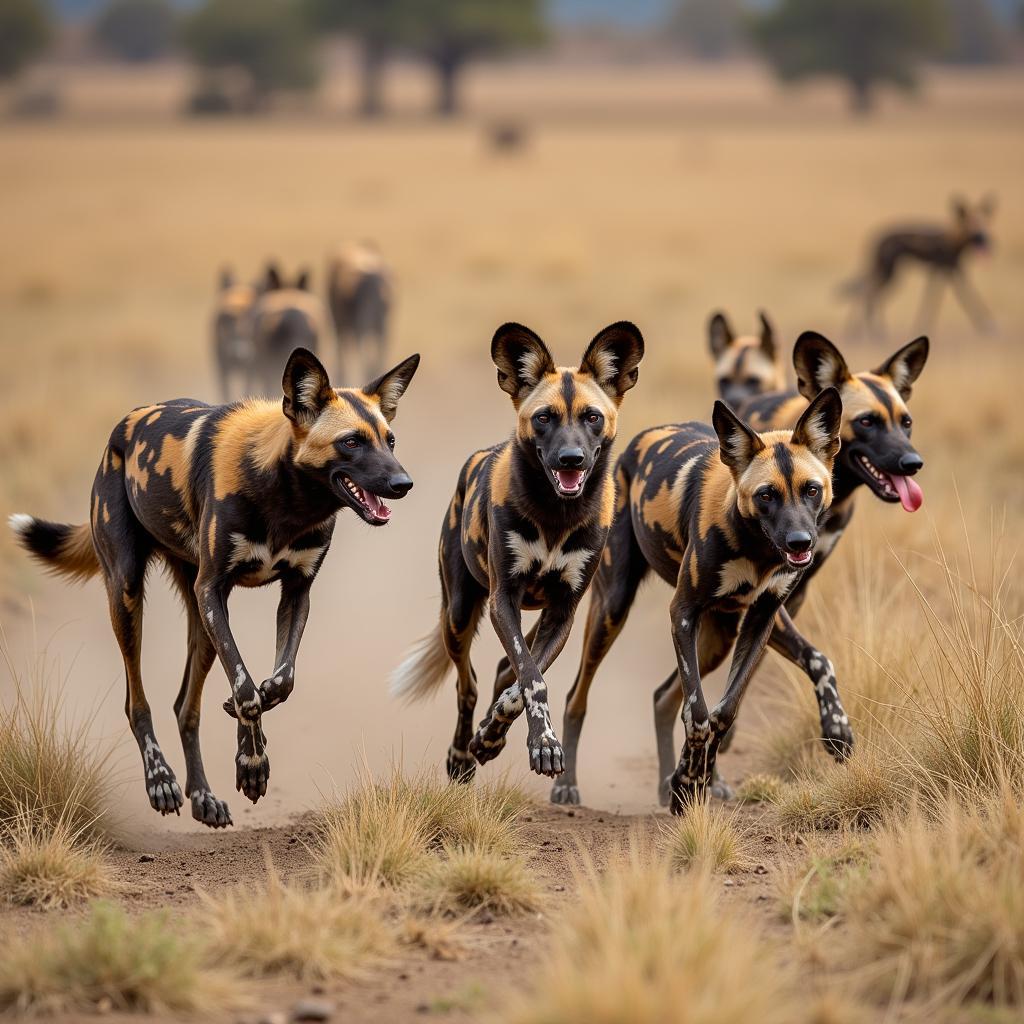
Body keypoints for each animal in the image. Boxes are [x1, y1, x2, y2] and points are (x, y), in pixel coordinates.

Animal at [9, 348, 417, 827]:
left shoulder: (293, 594)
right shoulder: (214, 592)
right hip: (129, 597)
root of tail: (120, 430)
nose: (403, 484)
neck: (286, 501)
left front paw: (251, 746)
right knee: (137, 703)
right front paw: (253, 763)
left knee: (186, 707)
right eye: (351, 442)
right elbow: (245, 690)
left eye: (390, 441)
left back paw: (202, 794)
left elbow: (276, 683)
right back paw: (161, 782)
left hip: (200, 625)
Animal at [387, 323, 643, 778]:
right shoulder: (502, 599)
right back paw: (461, 756)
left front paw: (501, 736)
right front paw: (529, 742)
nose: (571, 459)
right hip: (458, 615)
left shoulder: (562, 612)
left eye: (592, 417)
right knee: (467, 684)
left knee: (504, 671)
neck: (556, 514)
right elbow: (531, 678)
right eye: (544, 418)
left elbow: (522, 680)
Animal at [843, 193, 995, 333]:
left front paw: (922, 327)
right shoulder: (950, 272)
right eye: (972, 225)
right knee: (867, 294)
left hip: (888, 274)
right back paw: (870, 333)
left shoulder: (941, 272)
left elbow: (932, 301)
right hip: (890, 274)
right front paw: (987, 326)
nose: (983, 238)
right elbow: (967, 297)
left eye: (985, 224)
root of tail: (877, 237)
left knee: (865, 292)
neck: (955, 241)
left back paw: (864, 333)